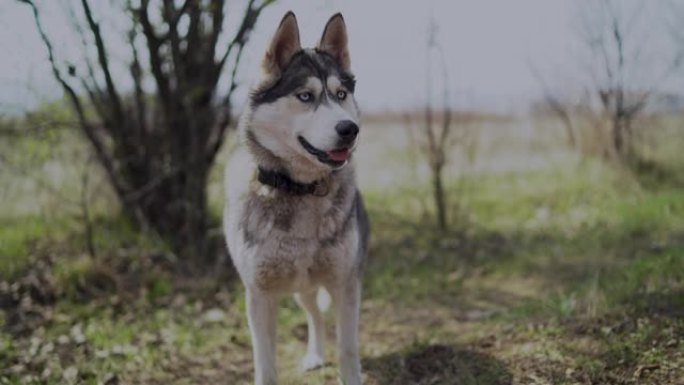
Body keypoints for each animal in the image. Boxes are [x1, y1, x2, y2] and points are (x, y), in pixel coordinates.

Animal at [224, 11, 368, 384]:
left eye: (341, 94)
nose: (350, 129)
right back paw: (315, 355)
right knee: (314, 315)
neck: (300, 188)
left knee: (317, 315)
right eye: (305, 96)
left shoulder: (346, 284)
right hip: (299, 288)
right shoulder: (259, 295)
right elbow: (265, 363)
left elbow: (348, 350)